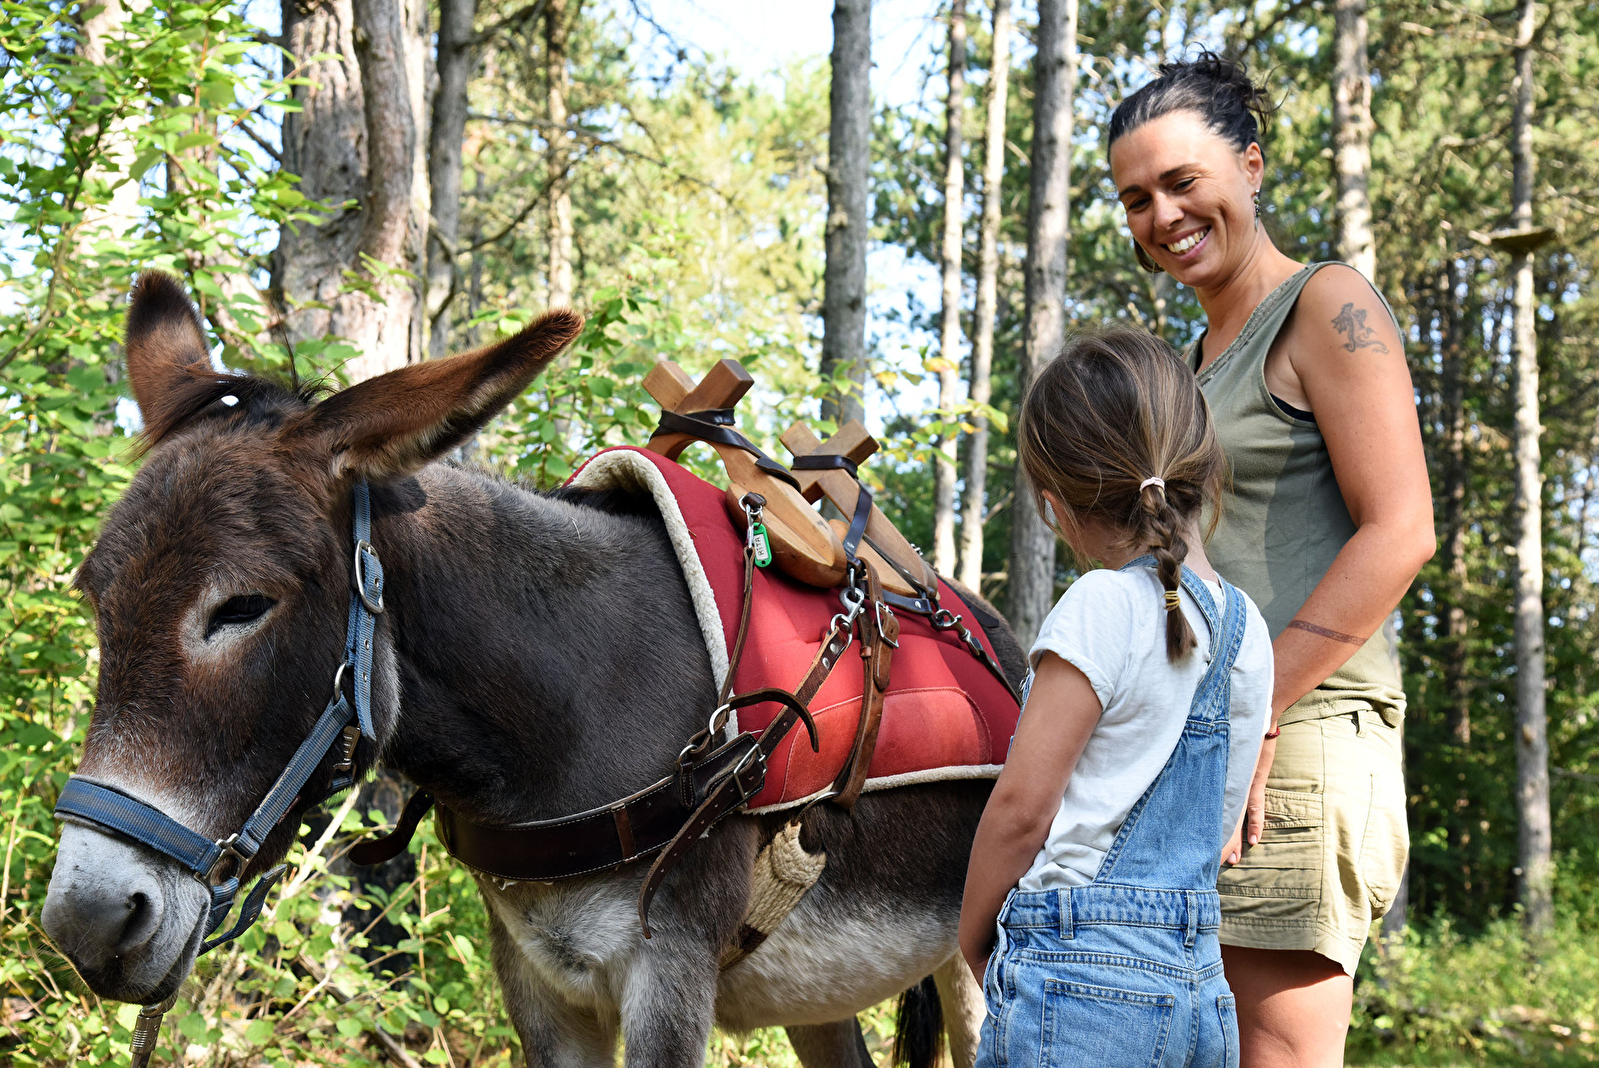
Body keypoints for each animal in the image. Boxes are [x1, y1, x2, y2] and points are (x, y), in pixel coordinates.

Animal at [41, 273, 1026, 1067]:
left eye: (242, 606)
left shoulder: (668, 971)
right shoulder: (536, 977)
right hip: (819, 990)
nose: (86, 921)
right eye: (93, 600)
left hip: (977, 952)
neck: (566, 712)